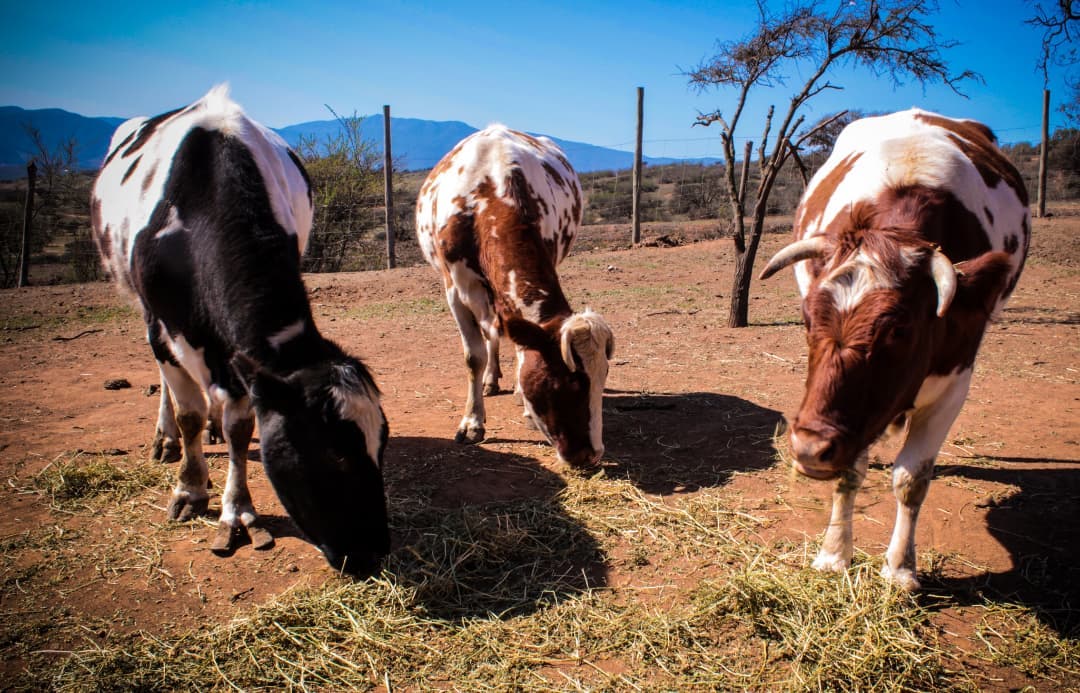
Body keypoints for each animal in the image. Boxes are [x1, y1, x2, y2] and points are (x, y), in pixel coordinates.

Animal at [90, 83, 390, 574]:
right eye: (333, 454)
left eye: (381, 444)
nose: (374, 552)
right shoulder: (163, 321)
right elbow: (188, 412)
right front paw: (190, 489)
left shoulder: (246, 360)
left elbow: (239, 425)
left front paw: (237, 510)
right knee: (170, 386)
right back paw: (166, 438)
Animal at [414, 126, 613, 466]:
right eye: (569, 381)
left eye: (603, 377)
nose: (591, 455)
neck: (488, 196)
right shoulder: (455, 290)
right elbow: (474, 356)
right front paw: (472, 422)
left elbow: (521, 349)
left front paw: (525, 404)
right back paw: (490, 379)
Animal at [760, 107, 1028, 587]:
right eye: (807, 319)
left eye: (899, 330)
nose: (808, 448)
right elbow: (850, 472)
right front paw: (834, 554)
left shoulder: (955, 379)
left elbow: (911, 479)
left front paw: (900, 567)